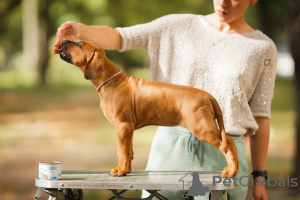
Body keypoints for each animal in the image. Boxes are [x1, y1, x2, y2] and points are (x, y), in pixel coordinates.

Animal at [58, 39, 239, 177]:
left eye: (79, 44)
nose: (64, 40)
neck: (110, 80)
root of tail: (209, 96)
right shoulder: (128, 128)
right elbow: (128, 150)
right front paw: (126, 170)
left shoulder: (122, 126)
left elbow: (121, 150)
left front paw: (120, 170)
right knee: (228, 141)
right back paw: (233, 170)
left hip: (202, 128)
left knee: (228, 143)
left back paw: (231, 171)